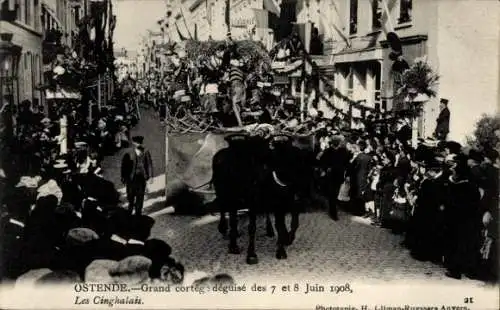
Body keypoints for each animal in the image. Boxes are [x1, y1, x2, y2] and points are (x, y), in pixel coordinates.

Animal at [213, 133, 318, 264]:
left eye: (305, 164)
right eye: (288, 162)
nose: (305, 192)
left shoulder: (280, 203)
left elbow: (283, 225)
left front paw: (281, 250)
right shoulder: (253, 203)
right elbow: (251, 228)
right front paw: (251, 255)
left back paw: (268, 231)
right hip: (225, 194)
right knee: (226, 212)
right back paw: (229, 238)